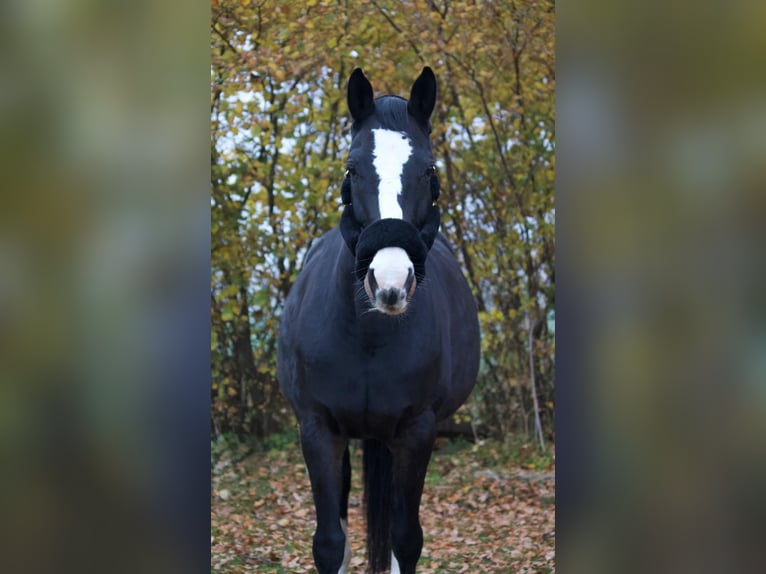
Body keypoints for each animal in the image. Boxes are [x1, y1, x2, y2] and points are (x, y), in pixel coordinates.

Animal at [277, 67, 480, 574]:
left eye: (429, 171)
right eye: (352, 170)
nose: (389, 281)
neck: (366, 337)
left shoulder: (417, 432)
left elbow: (404, 539)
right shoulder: (318, 430)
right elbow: (330, 543)